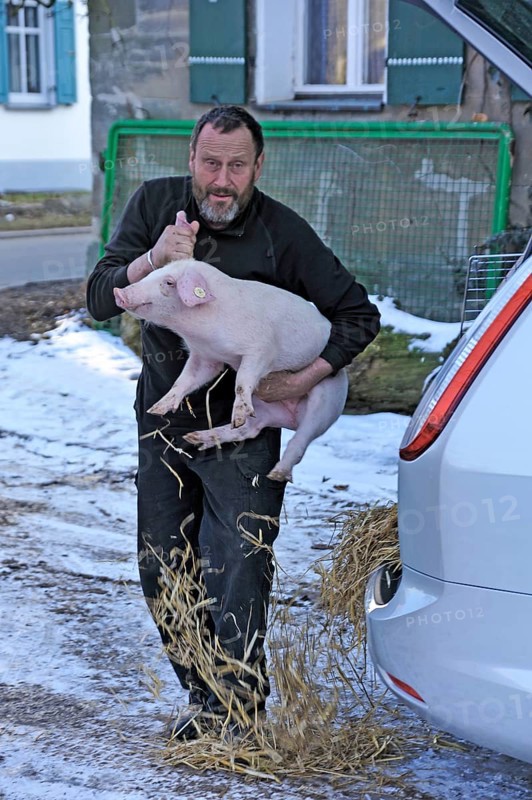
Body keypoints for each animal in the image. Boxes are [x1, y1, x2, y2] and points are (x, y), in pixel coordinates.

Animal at [113, 259, 348, 482]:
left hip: (327, 401)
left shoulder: (261, 350)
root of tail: (288, 418)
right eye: (152, 273)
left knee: (301, 439)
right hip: (264, 410)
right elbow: (184, 380)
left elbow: (242, 381)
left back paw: (276, 474)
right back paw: (198, 436)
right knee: (248, 430)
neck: (202, 332)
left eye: (169, 282)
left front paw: (239, 411)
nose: (118, 292)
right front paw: (156, 409)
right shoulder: (205, 357)